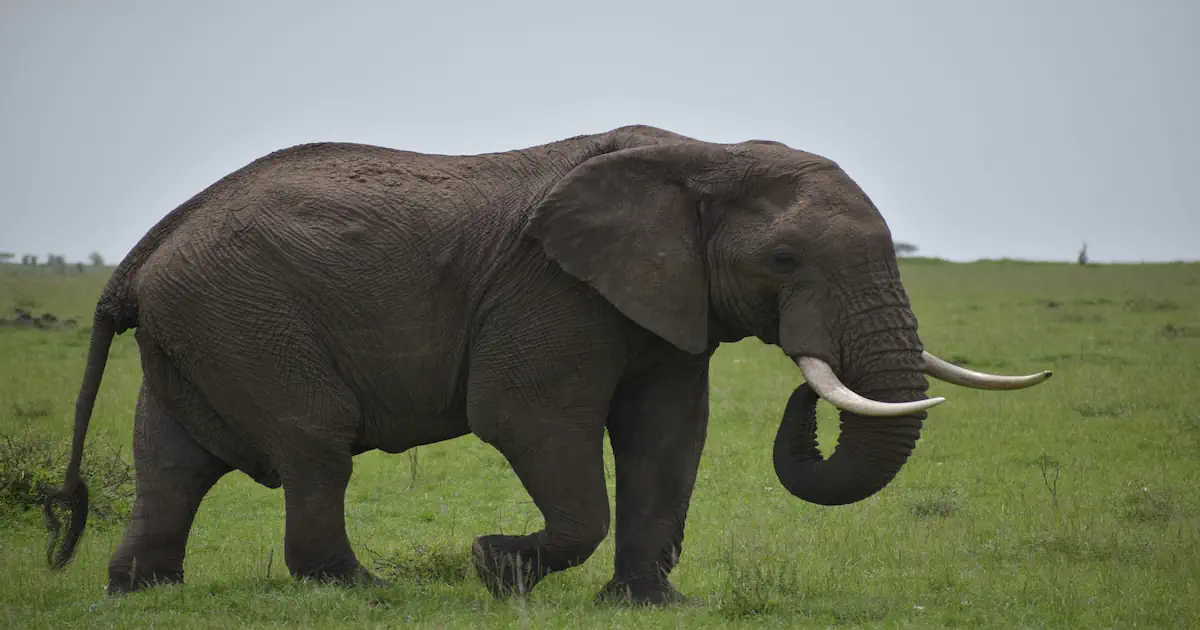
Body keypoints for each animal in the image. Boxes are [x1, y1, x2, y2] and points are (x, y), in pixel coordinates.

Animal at [42, 124, 1051, 604]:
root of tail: (143, 254)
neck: (706, 154)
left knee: (172, 464)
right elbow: (527, 418)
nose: (804, 396)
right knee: (315, 445)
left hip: (200, 327)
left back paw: (142, 592)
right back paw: (362, 590)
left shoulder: (662, 303)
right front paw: (495, 567)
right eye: (783, 261)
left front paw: (654, 604)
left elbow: (667, 438)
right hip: (246, 320)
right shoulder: (553, 290)